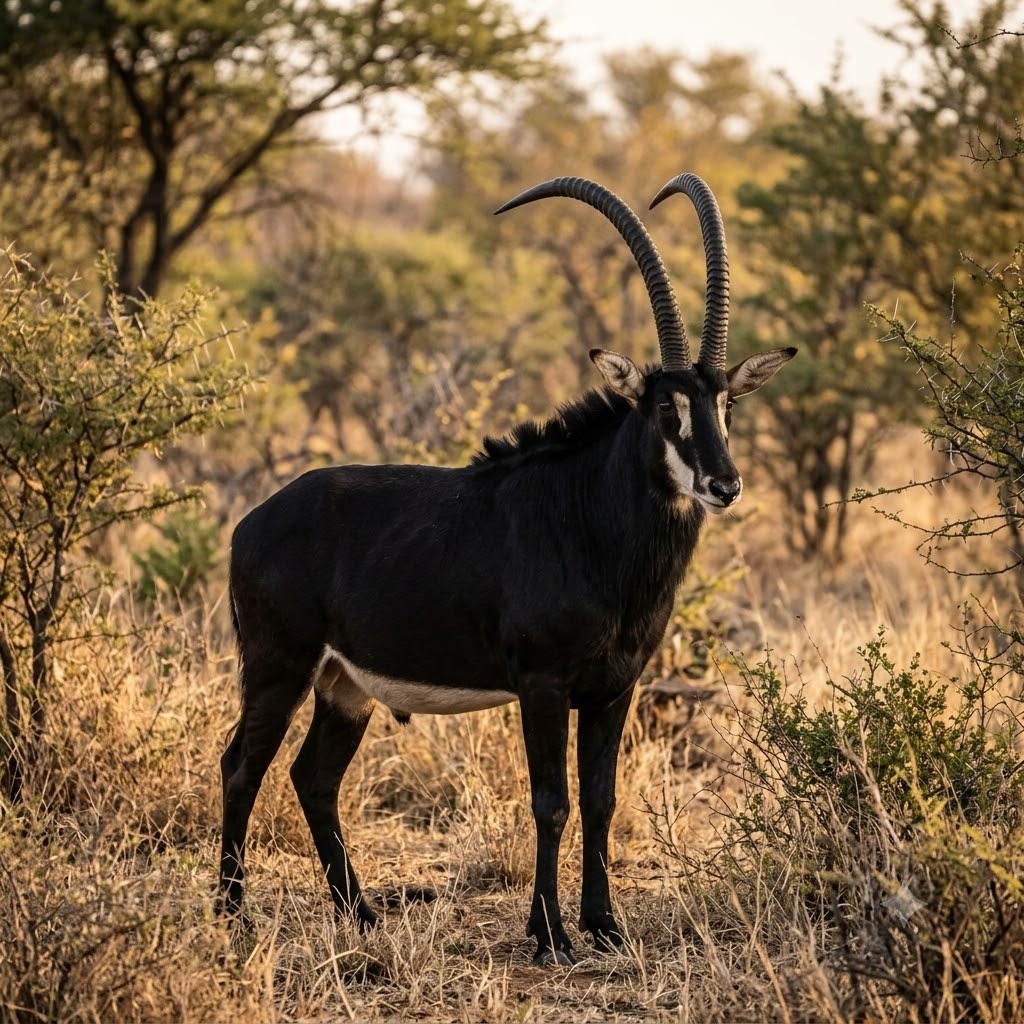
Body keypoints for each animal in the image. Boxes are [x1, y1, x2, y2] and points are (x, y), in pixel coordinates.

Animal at [219, 173, 796, 966]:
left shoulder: (615, 689)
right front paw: (550, 934)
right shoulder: (543, 684)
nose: (723, 484)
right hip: (279, 667)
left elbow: (600, 798)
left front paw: (606, 926)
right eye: (663, 408)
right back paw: (233, 915)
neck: (591, 522)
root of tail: (251, 524)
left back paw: (360, 913)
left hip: (344, 686)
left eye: (726, 404)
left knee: (314, 777)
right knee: (242, 767)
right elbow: (551, 801)